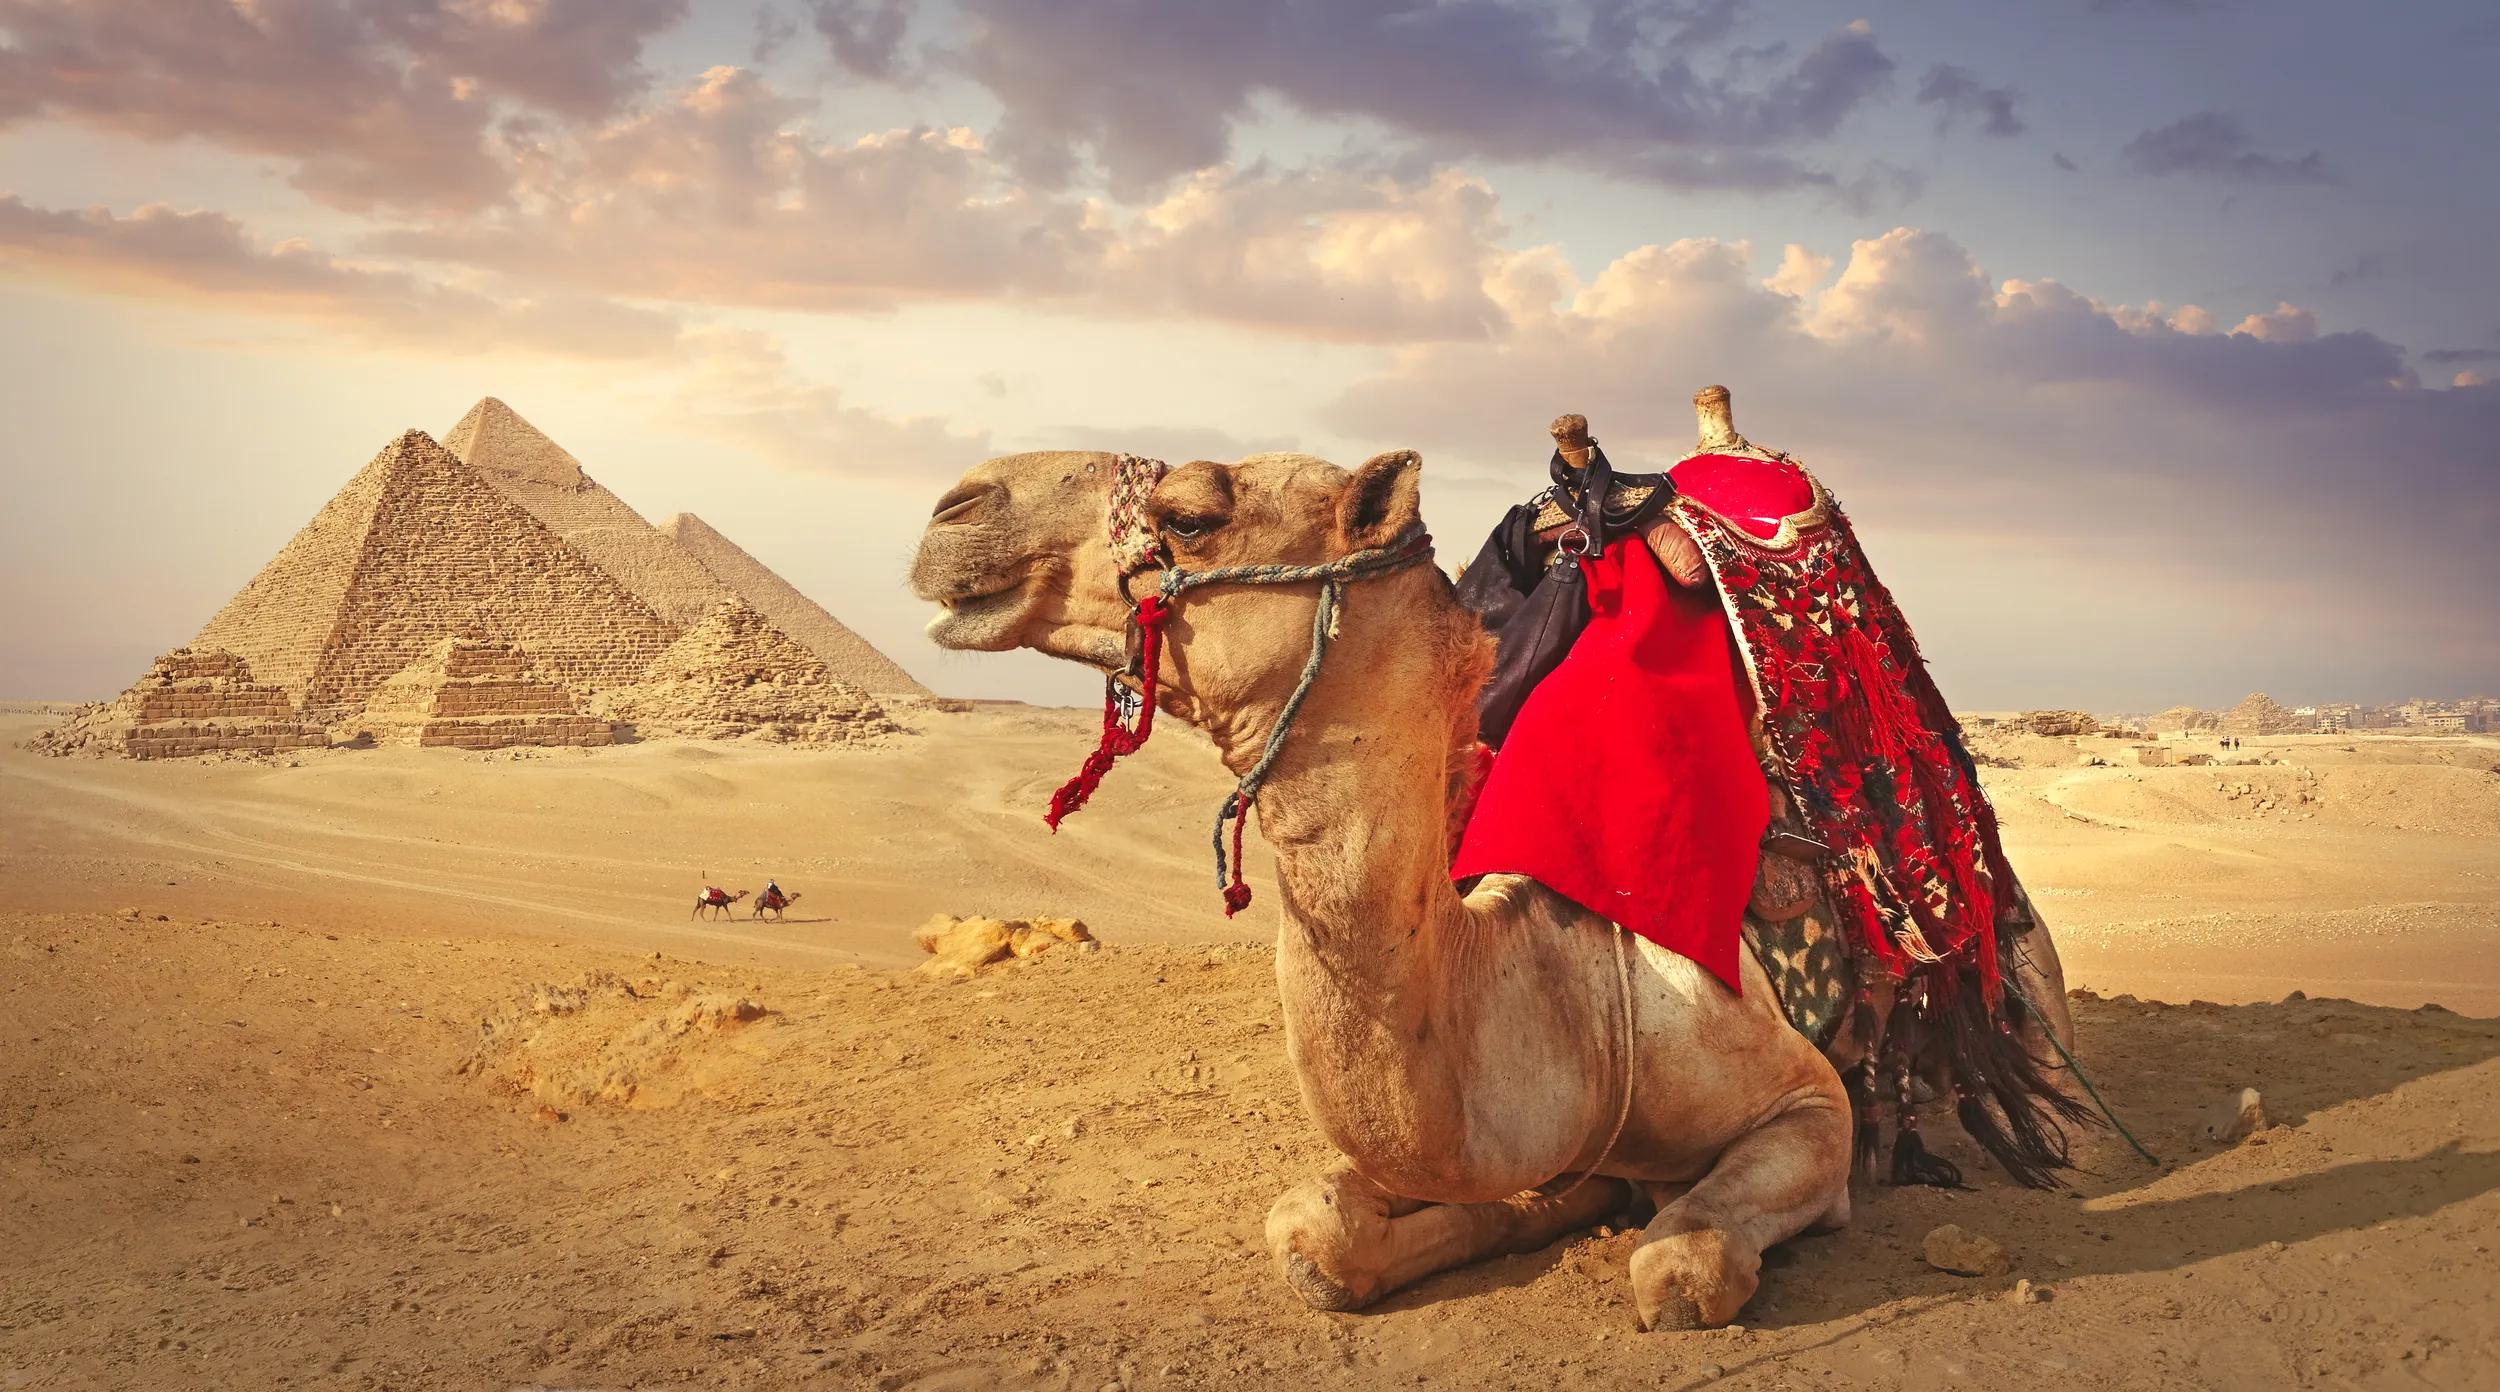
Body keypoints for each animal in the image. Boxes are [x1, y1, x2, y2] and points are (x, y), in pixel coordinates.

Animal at [907, 430, 2078, 1330]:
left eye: (1192, 514)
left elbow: (1680, 1265)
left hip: (2012, 978)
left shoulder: (1807, 1106)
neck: (1562, 993)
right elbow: (1316, 1231)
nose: (956, 506)